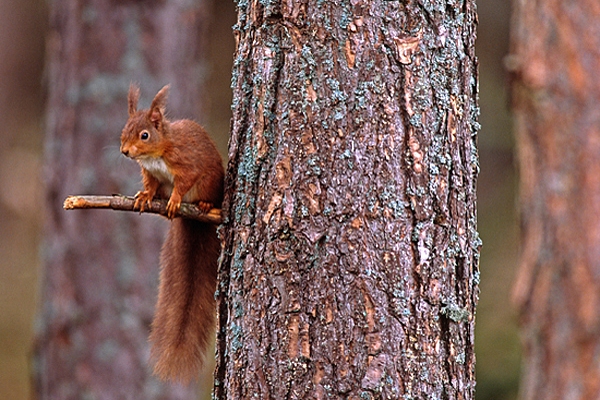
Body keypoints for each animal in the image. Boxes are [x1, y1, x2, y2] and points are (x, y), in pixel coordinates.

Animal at [118, 83, 224, 382]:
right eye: (124, 129)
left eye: (144, 135)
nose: (125, 152)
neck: (155, 156)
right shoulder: (151, 175)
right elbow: (152, 186)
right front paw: (144, 196)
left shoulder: (186, 164)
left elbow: (184, 181)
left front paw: (175, 199)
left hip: (210, 184)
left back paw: (203, 205)